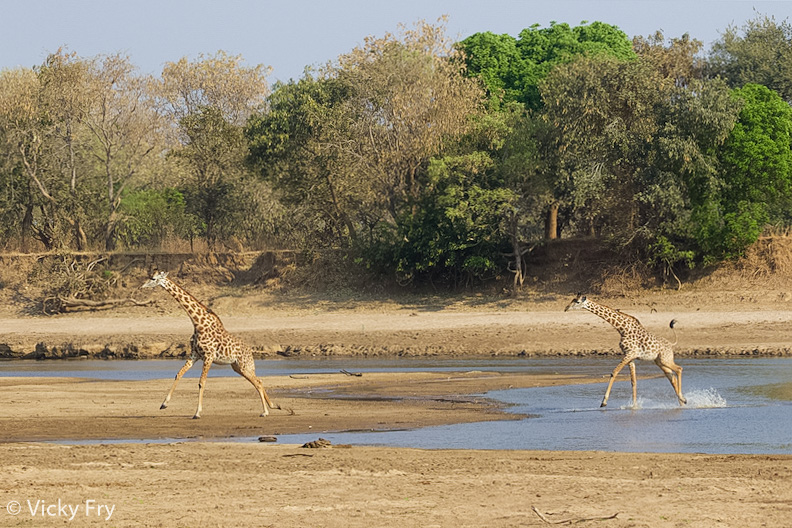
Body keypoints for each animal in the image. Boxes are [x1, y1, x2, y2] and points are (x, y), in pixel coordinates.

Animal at [143, 271, 281, 419]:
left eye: (153, 278)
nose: (142, 286)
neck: (198, 324)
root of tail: (249, 350)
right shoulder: (195, 354)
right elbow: (178, 374)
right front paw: (164, 404)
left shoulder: (208, 356)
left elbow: (201, 382)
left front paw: (197, 412)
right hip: (237, 367)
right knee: (258, 381)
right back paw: (273, 406)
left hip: (244, 365)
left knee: (258, 382)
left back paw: (265, 411)